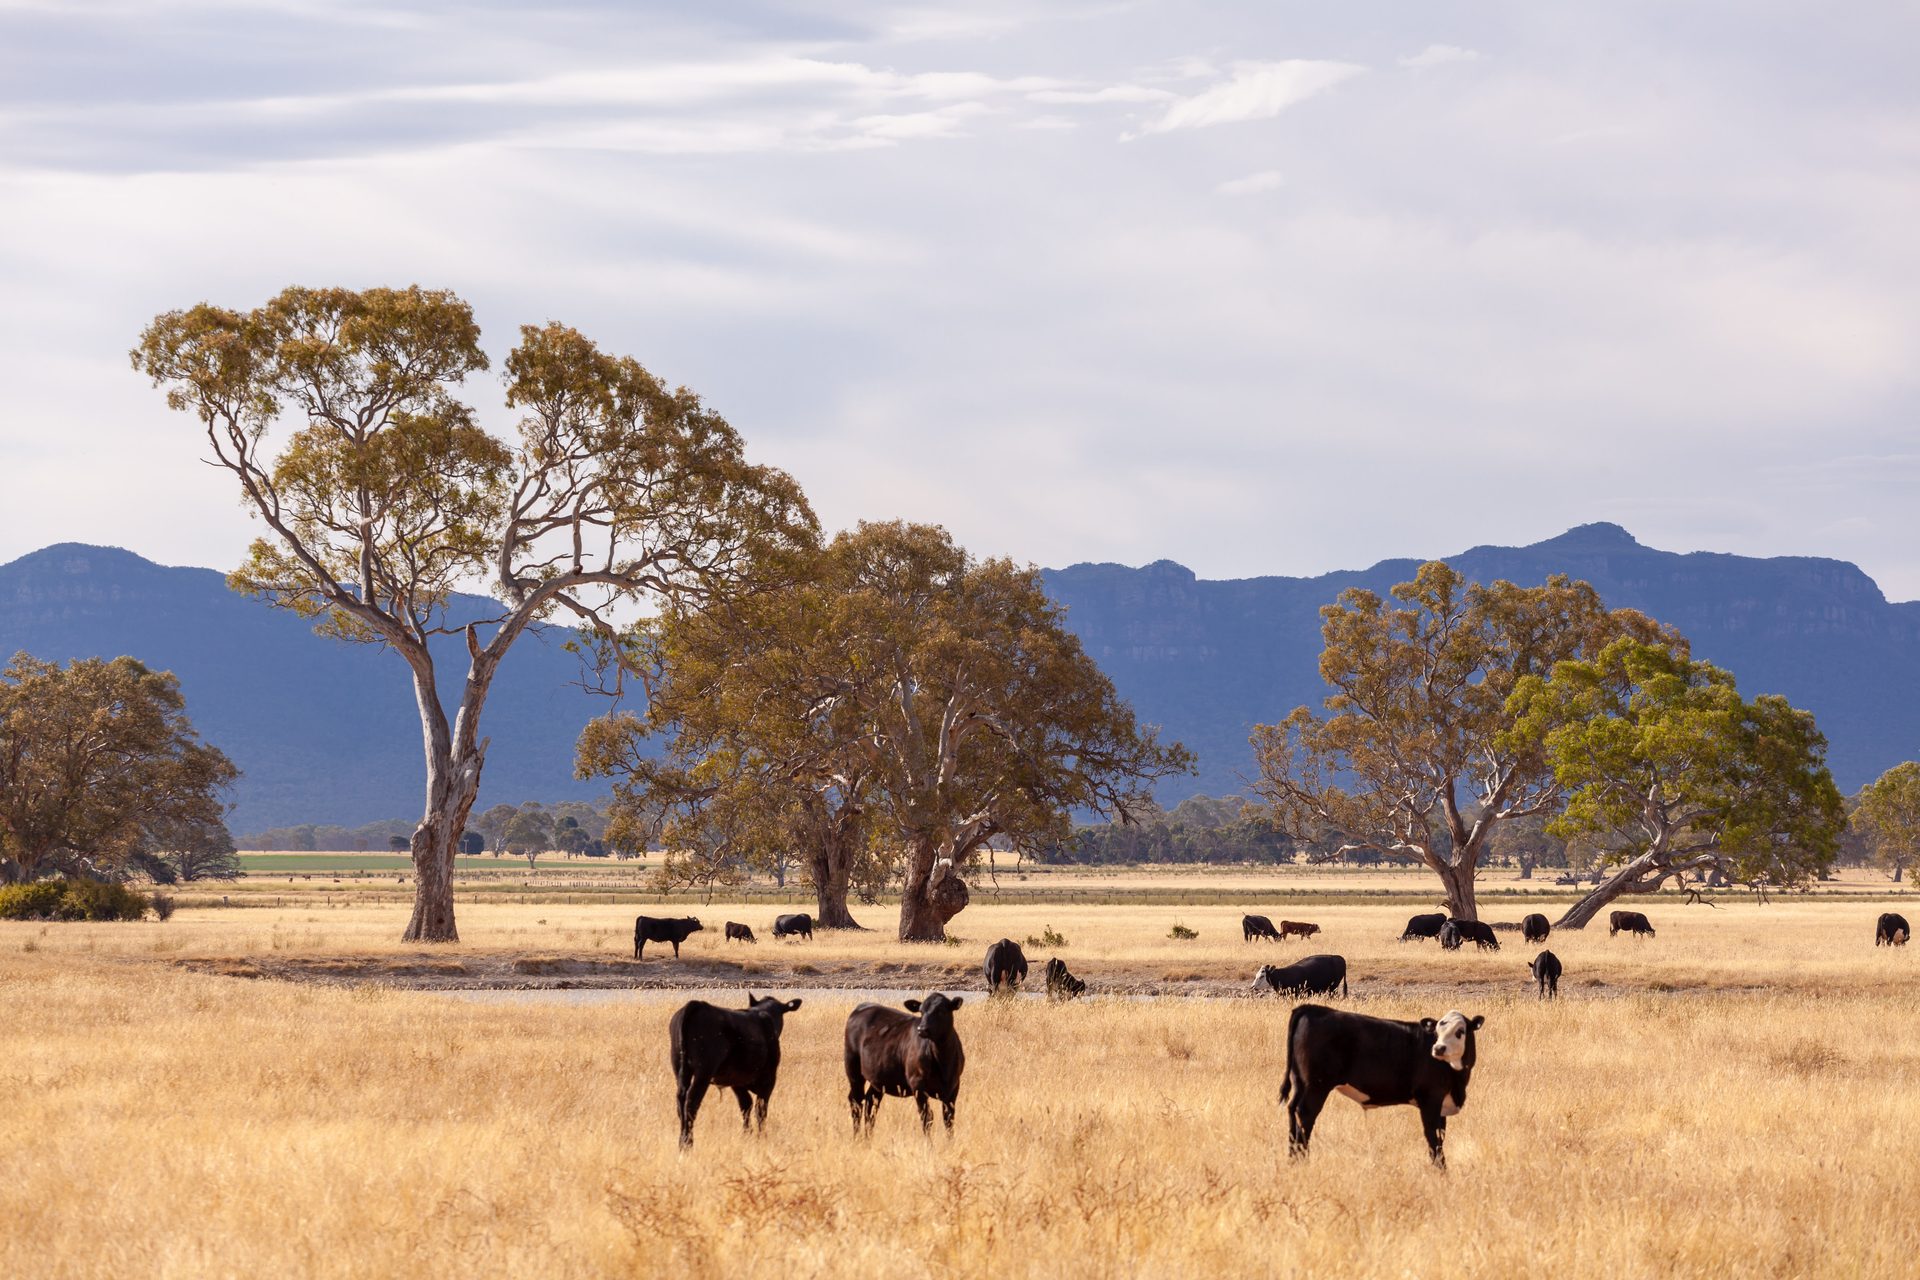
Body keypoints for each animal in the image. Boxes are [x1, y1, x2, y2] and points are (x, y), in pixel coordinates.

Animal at [668, 992, 802, 1148]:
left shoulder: (736, 1080)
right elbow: (760, 1109)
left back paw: (681, 1141)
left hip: (680, 1070)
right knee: (692, 1102)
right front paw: (761, 1137)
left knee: (681, 1101)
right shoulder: (769, 1079)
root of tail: (697, 1004)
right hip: (704, 1071)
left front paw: (747, 1134)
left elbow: (746, 1105)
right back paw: (687, 1143)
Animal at [843, 992, 966, 1135]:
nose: (922, 1029)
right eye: (921, 1011)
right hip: (853, 1069)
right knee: (856, 1101)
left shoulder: (953, 1088)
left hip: (879, 1078)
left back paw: (868, 1137)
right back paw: (857, 1137)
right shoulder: (917, 1085)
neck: (942, 1061)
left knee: (871, 1102)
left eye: (941, 1011)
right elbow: (927, 1118)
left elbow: (949, 1120)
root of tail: (862, 1006)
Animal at [1279, 1003, 1487, 1168]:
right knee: (1305, 1115)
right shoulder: (1430, 1100)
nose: (1438, 1048)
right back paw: (1303, 1160)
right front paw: (1441, 1171)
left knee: (1292, 1111)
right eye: (1436, 1032)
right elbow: (1432, 1137)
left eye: (1460, 1032)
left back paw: (1292, 1159)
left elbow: (1440, 1136)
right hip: (1317, 1086)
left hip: (1300, 1083)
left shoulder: (1441, 1105)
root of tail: (1312, 1008)